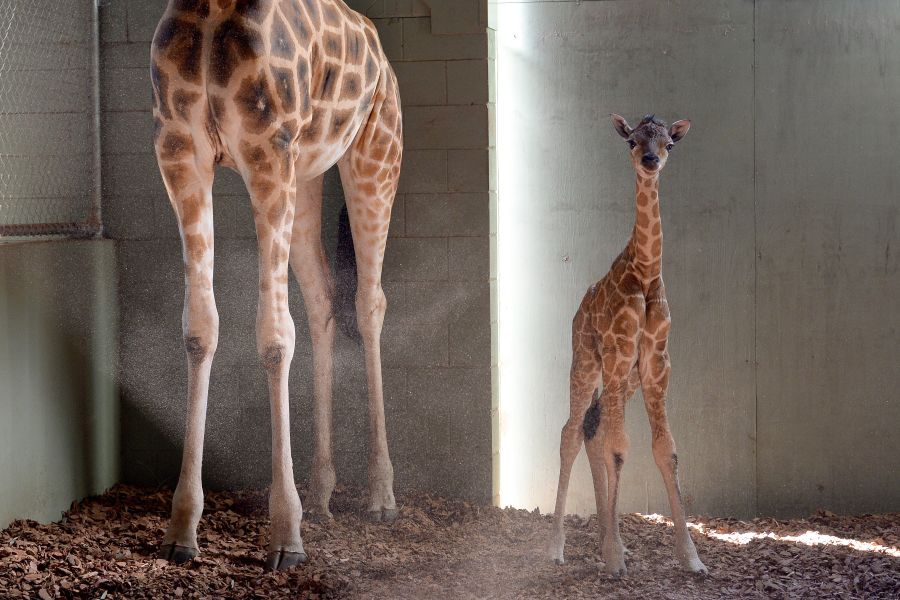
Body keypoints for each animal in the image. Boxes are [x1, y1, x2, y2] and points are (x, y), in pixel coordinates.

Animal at [149, 0, 402, 571]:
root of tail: (381, 53)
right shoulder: (179, 147)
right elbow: (199, 327)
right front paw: (182, 528)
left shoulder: (267, 147)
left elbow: (274, 335)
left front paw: (286, 535)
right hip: (306, 174)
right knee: (322, 300)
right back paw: (322, 493)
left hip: (375, 152)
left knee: (369, 301)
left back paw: (381, 496)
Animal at [547, 114, 707, 577]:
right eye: (632, 141)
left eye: (670, 143)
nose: (650, 160)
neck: (646, 272)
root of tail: (577, 310)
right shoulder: (619, 353)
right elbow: (620, 448)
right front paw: (616, 556)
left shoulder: (656, 362)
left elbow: (666, 450)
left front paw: (691, 557)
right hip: (586, 362)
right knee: (570, 432)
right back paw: (557, 547)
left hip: (626, 379)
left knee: (593, 429)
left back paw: (606, 542)